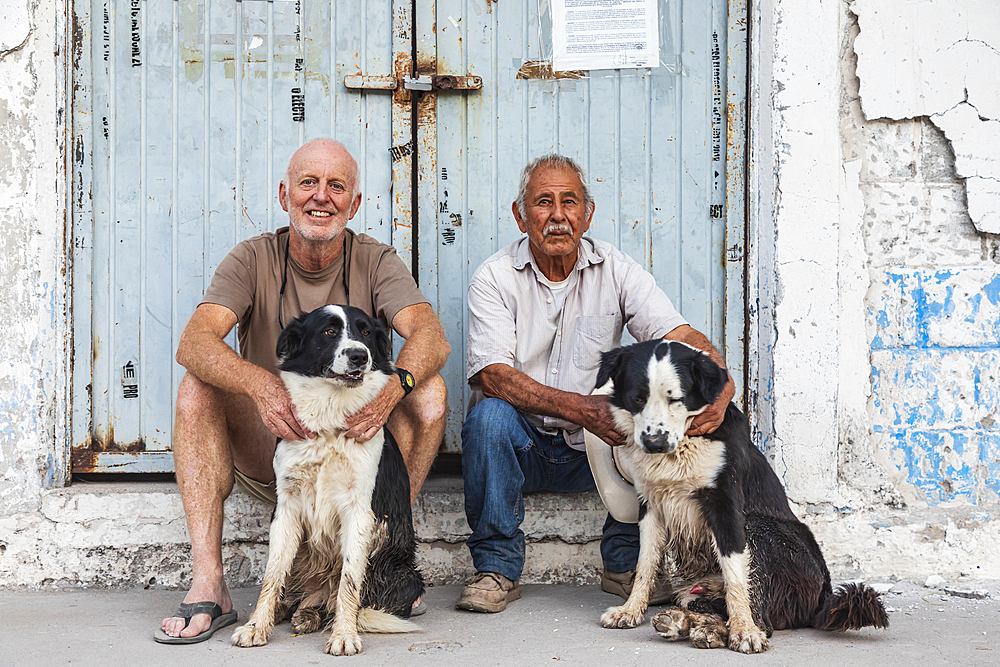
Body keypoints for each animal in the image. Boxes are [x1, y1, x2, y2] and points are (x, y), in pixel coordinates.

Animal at [232, 306, 424, 656]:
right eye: (329, 332)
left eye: (365, 332)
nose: (360, 356)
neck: (329, 423)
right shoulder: (286, 508)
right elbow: (271, 576)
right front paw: (256, 626)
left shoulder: (360, 512)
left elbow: (349, 583)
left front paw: (344, 635)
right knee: (295, 589)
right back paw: (294, 611)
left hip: (403, 575)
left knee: (340, 597)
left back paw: (313, 613)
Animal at [592, 342, 884, 656]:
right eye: (637, 398)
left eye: (677, 399)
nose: (654, 443)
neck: (684, 446)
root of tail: (824, 593)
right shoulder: (651, 506)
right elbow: (645, 563)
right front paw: (631, 610)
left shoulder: (725, 505)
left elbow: (735, 578)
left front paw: (744, 630)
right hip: (694, 588)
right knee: (708, 603)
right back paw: (683, 621)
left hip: (758, 528)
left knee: (762, 618)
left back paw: (721, 629)